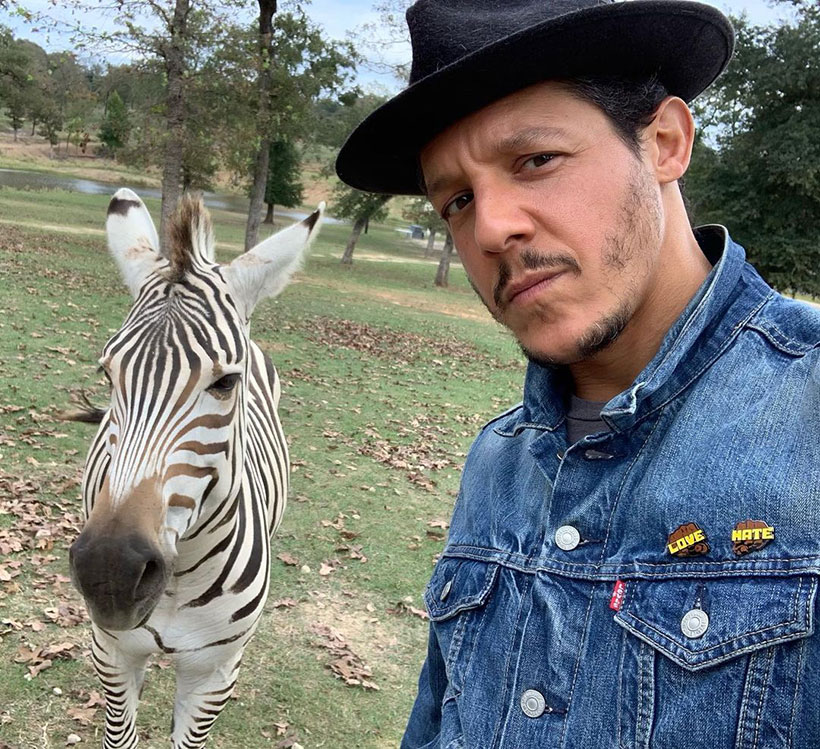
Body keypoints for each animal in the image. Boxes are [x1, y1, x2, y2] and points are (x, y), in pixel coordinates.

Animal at [67, 190, 324, 744]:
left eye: (226, 383)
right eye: (108, 375)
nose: (110, 572)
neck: (179, 575)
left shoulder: (215, 674)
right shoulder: (111, 652)